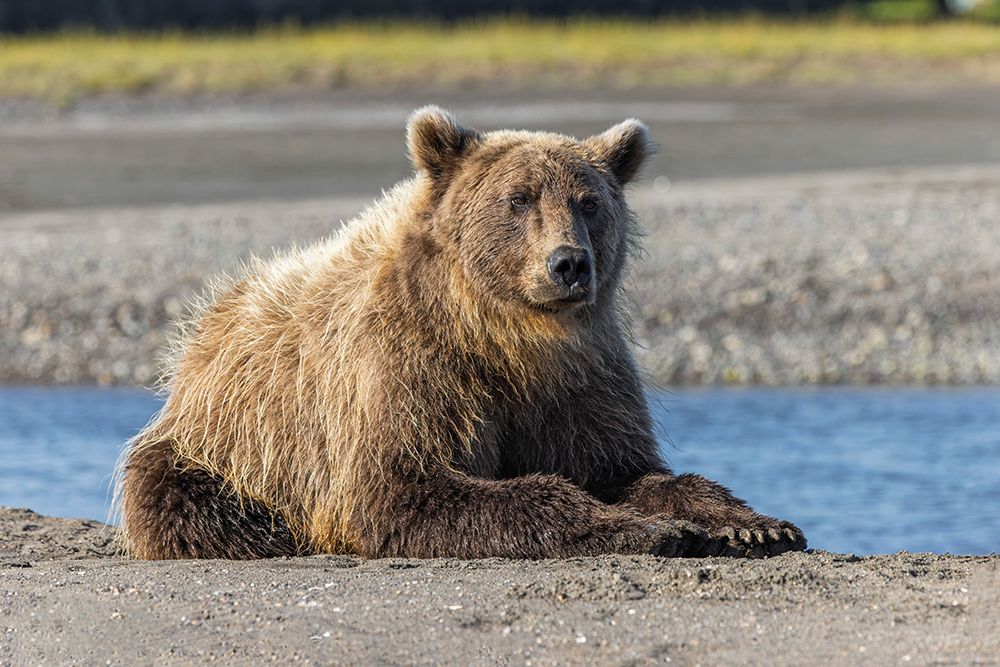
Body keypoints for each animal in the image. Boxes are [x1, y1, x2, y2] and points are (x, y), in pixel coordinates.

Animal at [119, 107, 804, 560]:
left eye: (589, 201)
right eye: (519, 198)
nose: (568, 264)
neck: (508, 336)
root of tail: (212, 320)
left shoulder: (579, 380)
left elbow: (624, 467)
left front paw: (751, 522)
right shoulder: (408, 368)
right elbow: (404, 488)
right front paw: (645, 529)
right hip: (224, 440)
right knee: (187, 501)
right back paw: (271, 533)